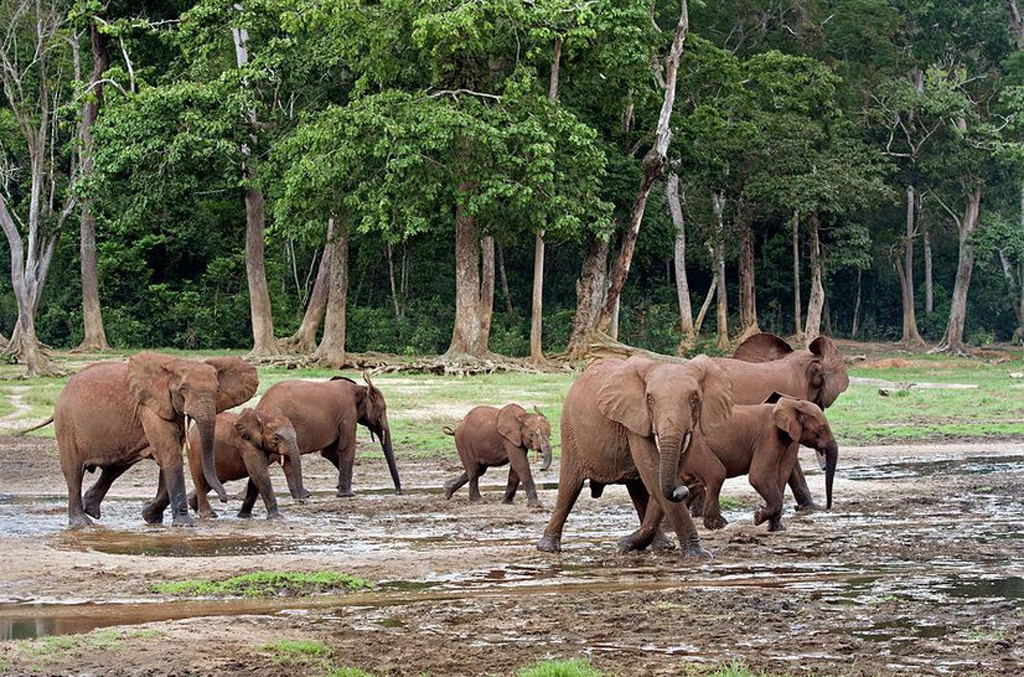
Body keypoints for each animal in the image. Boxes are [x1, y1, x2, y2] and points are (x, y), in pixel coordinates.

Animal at [51, 354, 260, 528]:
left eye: (217, 390)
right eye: (183, 389)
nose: (224, 499)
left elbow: (167, 458)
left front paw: (150, 516)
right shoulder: (151, 408)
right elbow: (170, 455)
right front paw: (184, 524)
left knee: (116, 467)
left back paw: (91, 510)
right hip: (66, 424)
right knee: (74, 471)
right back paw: (82, 523)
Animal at [253, 368, 401, 495]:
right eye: (383, 409)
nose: (398, 492)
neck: (360, 388)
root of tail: (261, 405)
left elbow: (329, 453)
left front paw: (341, 488)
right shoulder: (347, 416)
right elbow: (346, 448)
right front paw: (348, 494)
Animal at [540, 356, 733, 557]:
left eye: (694, 399)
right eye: (650, 399)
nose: (682, 490)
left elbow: (656, 482)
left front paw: (626, 544)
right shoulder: (636, 421)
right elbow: (654, 475)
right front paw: (699, 555)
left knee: (638, 488)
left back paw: (662, 545)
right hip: (571, 432)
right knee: (569, 488)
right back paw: (548, 548)